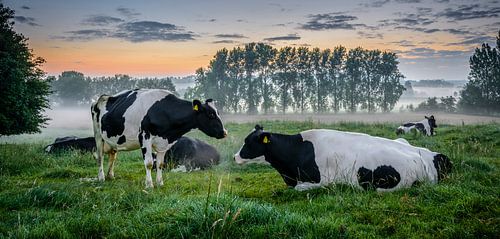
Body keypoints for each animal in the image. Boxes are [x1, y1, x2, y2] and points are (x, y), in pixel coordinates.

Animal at [91, 88, 228, 188]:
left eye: (218, 113)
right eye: (210, 114)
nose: (224, 132)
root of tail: (102, 97)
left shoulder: (164, 142)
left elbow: (160, 164)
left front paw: (160, 183)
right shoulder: (144, 137)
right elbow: (149, 163)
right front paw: (149, 185)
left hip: (112, 139)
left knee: (113, 156)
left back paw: (110, 175)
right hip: (98, 134)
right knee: (100, 157)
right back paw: (101, 177)